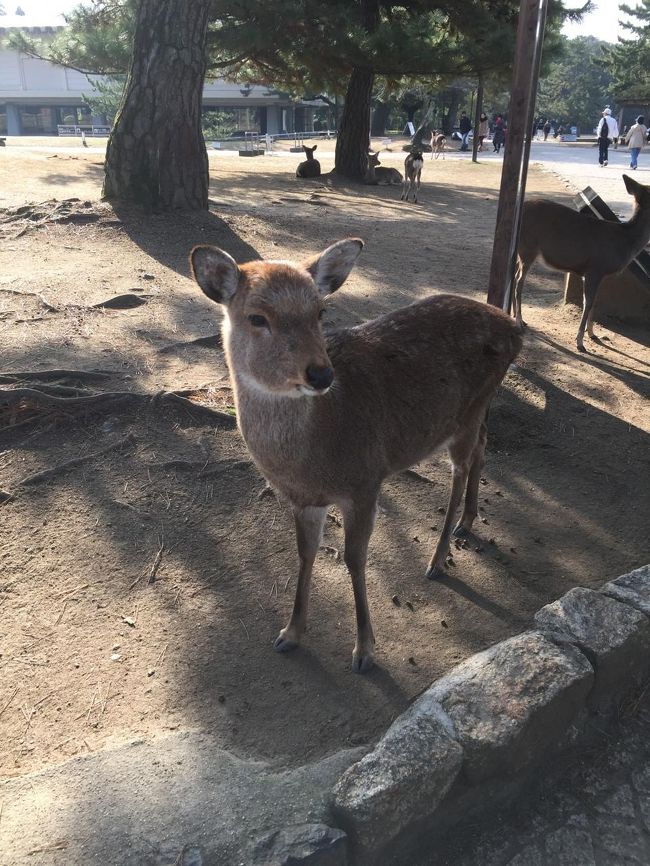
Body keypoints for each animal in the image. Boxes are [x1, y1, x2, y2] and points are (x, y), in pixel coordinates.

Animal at [190, 239, 522, 673]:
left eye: (320, 311)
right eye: (257, 317)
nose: (321, 374)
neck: (314, 459)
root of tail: (515, 328)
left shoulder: (366, 481)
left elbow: (354, 558)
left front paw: (364, 650)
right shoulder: (303, 501)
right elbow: (306, 553)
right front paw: (290, 633)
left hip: (469, 410)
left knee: (461, 467)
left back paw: (437, 558)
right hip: (477, 411)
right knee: (483, 447)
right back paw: (466, 523)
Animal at [513, 174, 650, 352]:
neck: (625, 242)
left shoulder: (598, 273)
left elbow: (594, 302)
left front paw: (593, 334)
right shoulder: (595, 268)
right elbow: (588, 302)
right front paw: (580, 341)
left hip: (520, 251)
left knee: (513, 276)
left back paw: (517, 318)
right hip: (527, 248)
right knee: (518, 282)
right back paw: (518, 322)